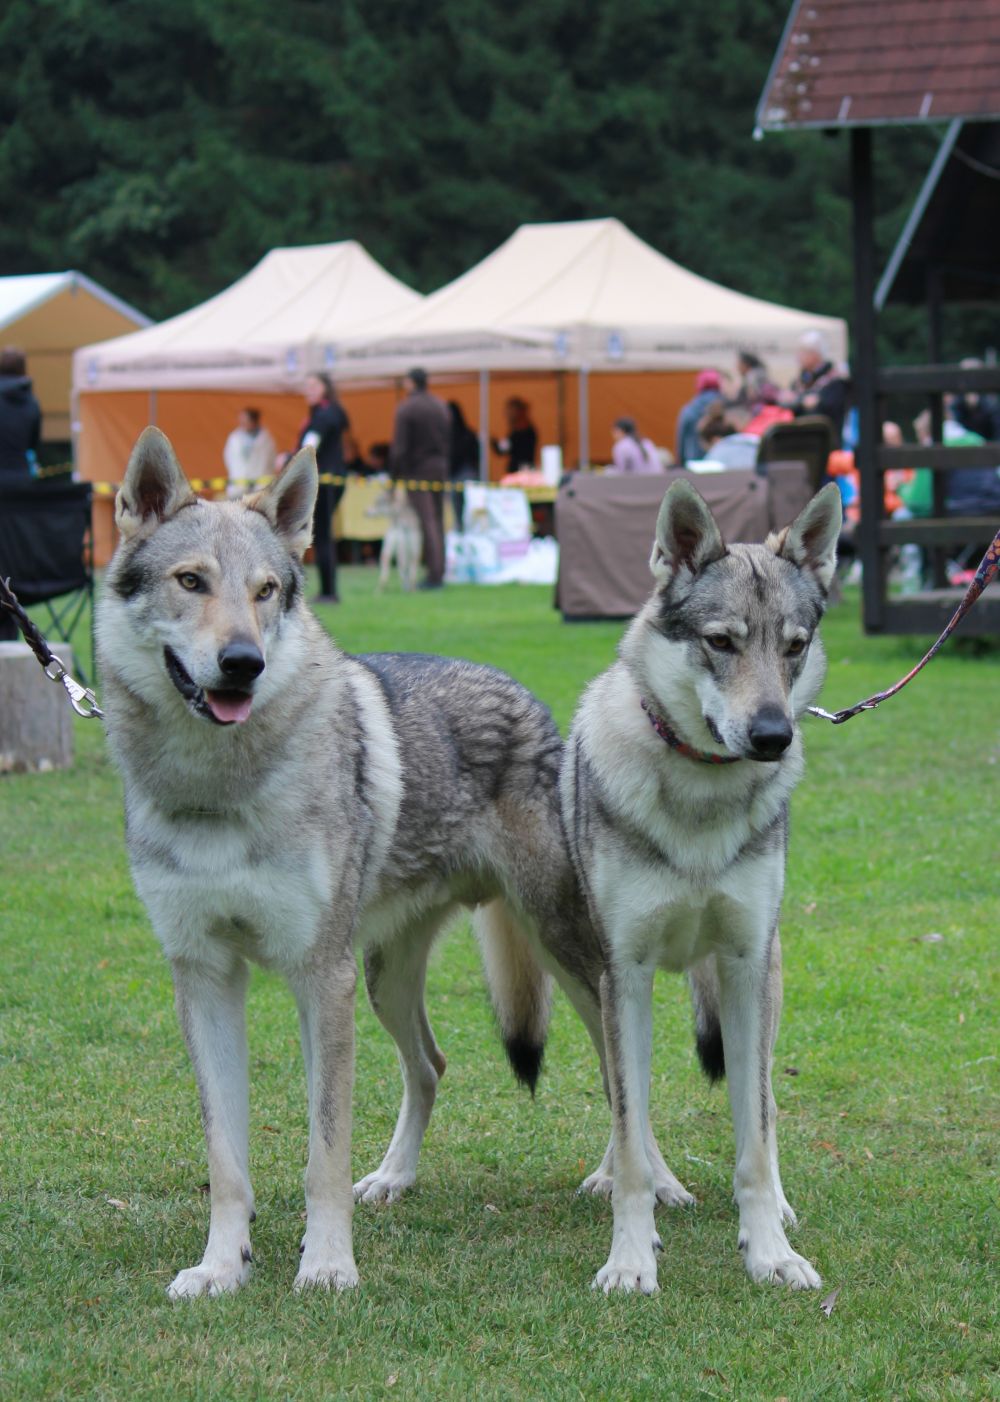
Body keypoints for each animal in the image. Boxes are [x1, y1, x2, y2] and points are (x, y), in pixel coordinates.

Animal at [95, 429, 591, 1301]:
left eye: (265, 591)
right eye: (191, 581)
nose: (243, 662)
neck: (218, 789)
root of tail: (528, 699)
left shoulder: (316, 978)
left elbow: (322, 1151)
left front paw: (326, 1264)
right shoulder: (204, 976)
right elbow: (227, 1160)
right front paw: (221, 1266)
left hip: (559, 951)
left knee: (628, 1063)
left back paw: (643, 1183)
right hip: (386, 979)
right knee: (431, 1064)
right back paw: (393, 1178)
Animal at [558, 479, 835, 1289]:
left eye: (793, 646)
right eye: (721, 642)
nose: (773, 735)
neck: (701, 799)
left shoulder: (744, 967)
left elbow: (755, 1140)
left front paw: (770, 1252)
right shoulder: (626, 974)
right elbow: (630, 1129)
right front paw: (629, 1259)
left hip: (764, 984)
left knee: (763, 1107)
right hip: (590, 987)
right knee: (626, 1108)